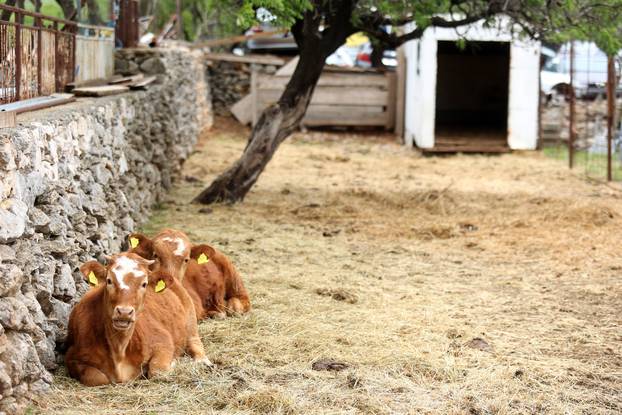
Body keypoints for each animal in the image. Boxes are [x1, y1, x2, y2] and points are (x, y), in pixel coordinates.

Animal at [65, 254, 212, 386]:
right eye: (109, 280)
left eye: (144, 284)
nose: (124, 312)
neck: (119, 349)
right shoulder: (72, 357)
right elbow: (97, 378)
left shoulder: (163, 341)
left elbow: (157, 371)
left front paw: (173, 363)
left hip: (191, 317)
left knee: (195, 342)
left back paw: (203, 362)